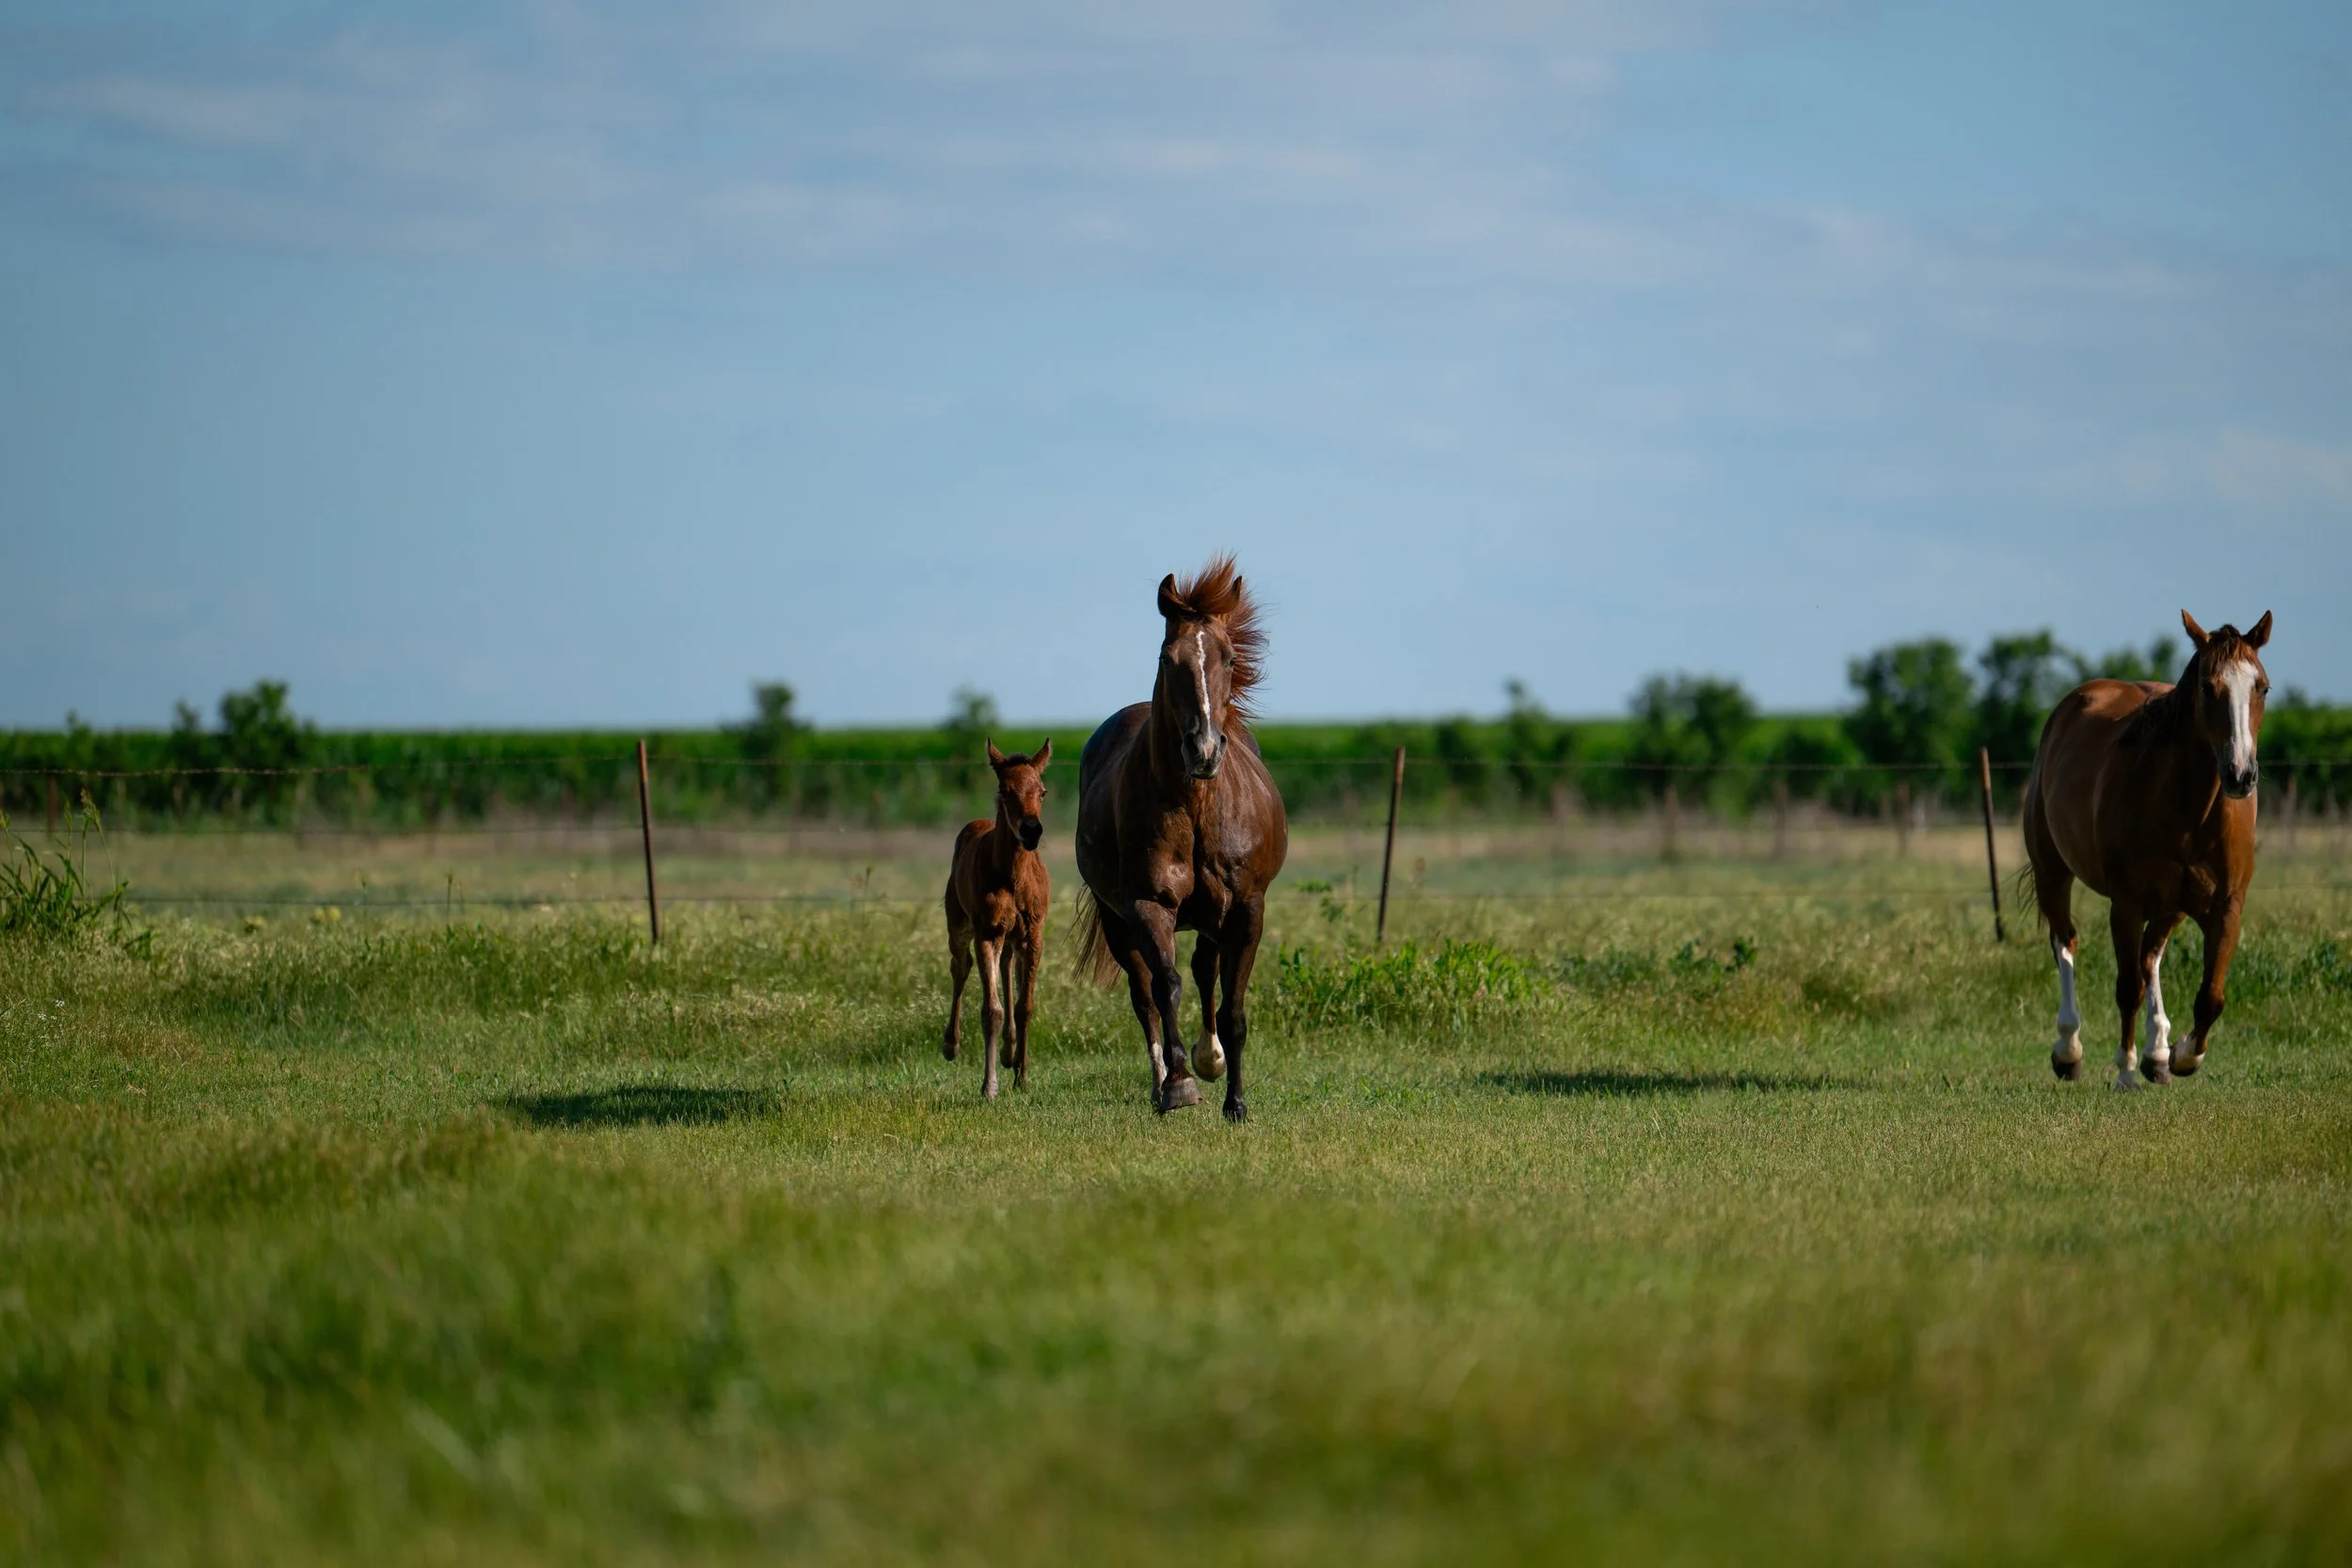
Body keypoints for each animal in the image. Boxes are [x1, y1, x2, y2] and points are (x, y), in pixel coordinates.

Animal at [943, 739, 1053, 1099]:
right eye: (1005, 790)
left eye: (1042, 791)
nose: (1031, 830)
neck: (1013, 879)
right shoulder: (987, 932)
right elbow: (992, 1011)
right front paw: (989, 1086)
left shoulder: (1033, 934)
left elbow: (1024, 1005)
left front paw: (1022, 1076)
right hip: (959, 923)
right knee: (960, 966)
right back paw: (951, 1044)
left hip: (1013, 936)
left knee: (1006, 966)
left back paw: (1009, 1053)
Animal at [1074, 556, 1288, 1119]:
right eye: (1168, 660)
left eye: (1229, 657)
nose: (1204, 749)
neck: (1195, 808)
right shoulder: (1148, 905)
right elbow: (1164, 987)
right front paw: (1180, 1085)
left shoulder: (1246, 909)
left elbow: (1232, 1007)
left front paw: (1235, 1102)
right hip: (1117, 920)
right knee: (1145, 993)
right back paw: (1163, 1081)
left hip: (1213, 917)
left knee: (1205, 972)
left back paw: (1210, 1059)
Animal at [2022, 609, 2273, 1089]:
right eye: (2207, 687)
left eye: (2262, 687)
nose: (2240, 775)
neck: (2189, 809)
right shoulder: (2126, 903)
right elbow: (2127, 989)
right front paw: (2125, 1070)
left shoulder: (2227, 906)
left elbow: (2211, 997)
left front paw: (2182, 1055)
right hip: (2052, 873)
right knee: (2066, 942)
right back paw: (2069, 1050)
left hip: (2171, 904)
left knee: (2150, 956)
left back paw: (2158, 1052)